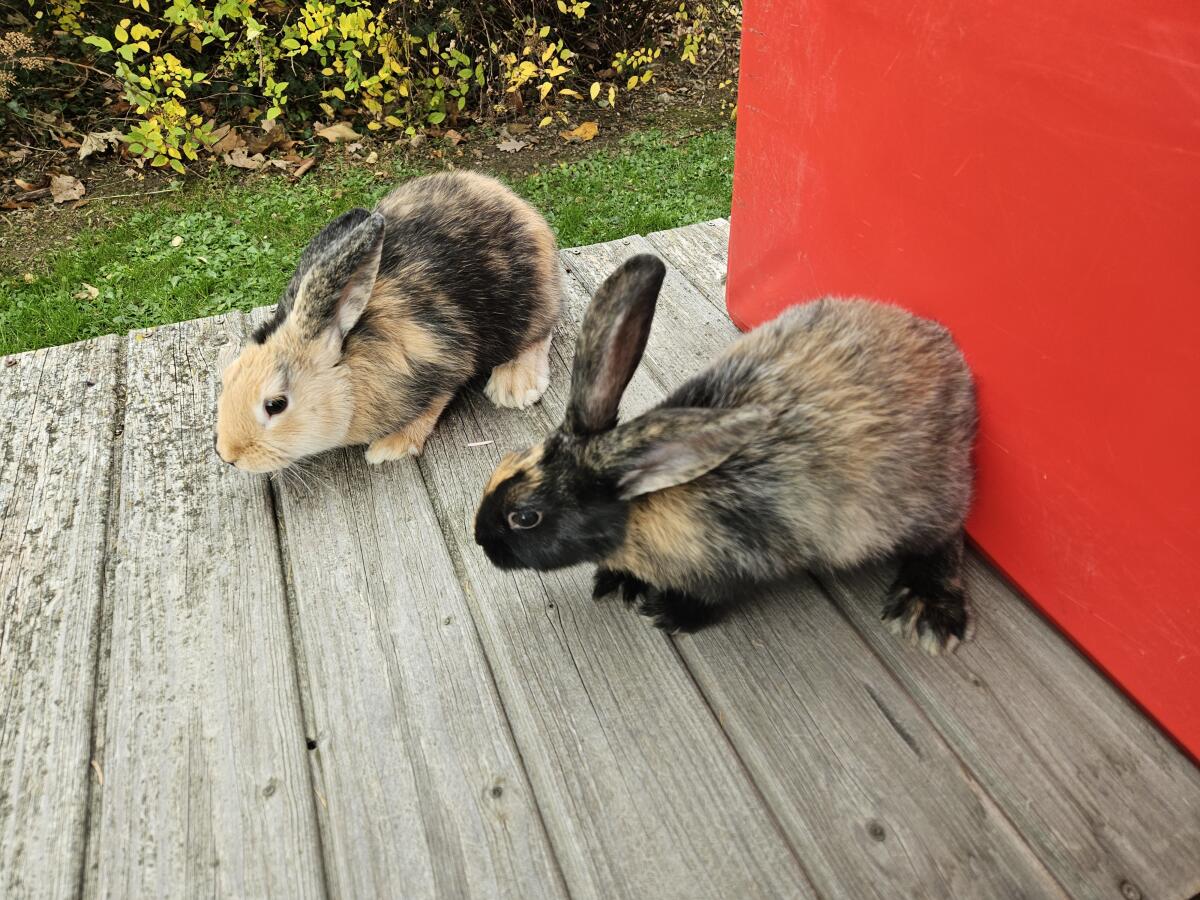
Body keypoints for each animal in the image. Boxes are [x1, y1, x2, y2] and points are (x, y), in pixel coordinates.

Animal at [215, 171, 560, 473]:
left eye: (275, 405)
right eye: (227, 376)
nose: (228, 455)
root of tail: (518, 205)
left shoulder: (443, 359)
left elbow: (432, 404)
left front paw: (390, 447)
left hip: (528, 304)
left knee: (542, 330)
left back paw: (514, 386)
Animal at [474, 254, 979, 654]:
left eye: (525, 517)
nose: (480, 540)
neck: (646, 494)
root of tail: (950, 362)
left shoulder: (739, 562)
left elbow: (713, 596)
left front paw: (668, 612)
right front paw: (618, 582)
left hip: (917, 504)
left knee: (947, 537)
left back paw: (927, 610)